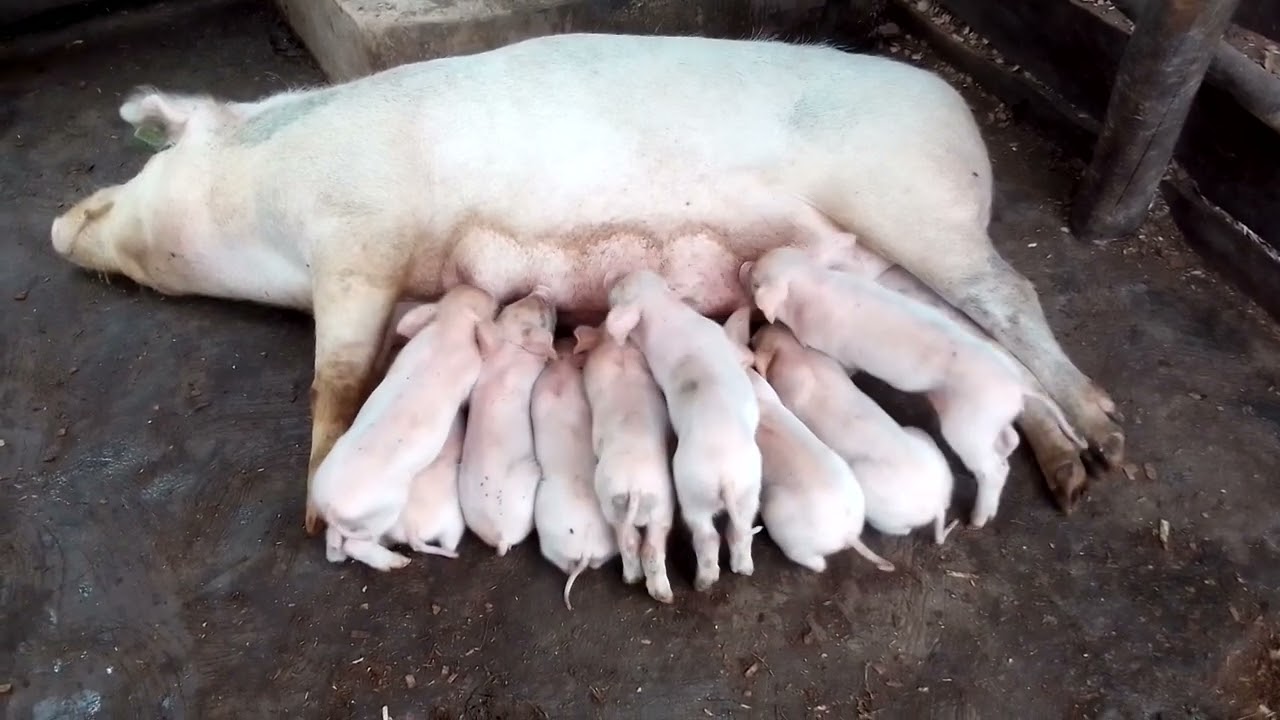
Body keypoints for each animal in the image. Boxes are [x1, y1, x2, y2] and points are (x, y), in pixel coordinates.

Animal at [313, 284, 497, 571]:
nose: (485, 290)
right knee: (356, 546)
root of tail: (332, 506)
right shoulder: (471, 371)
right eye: (487, 306)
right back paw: (398, 562)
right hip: (384, 511)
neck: (449, 327)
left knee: (334, 548)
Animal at [572, 323, 677, 604]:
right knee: (648, 547)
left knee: (629, 543)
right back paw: (663, 595)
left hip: (613, 504)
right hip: (659, 507)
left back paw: (634, 580)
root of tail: (634, 486)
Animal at [604, 270, 762, 592]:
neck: (663, 308)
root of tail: (725, 476)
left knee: (726, 533)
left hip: (732, 490)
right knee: (718, 535)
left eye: (621, 287)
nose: (610, 280)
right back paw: (713, 579)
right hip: (713, 493)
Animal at [750, 323, 960, 545]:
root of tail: (936, 503)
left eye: (758, 338)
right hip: (920, 435)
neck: (797, 356)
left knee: (900, 530)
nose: (760, 326)